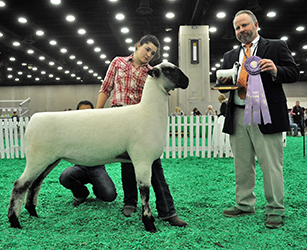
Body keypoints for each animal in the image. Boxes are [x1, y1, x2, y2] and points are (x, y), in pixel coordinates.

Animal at [7, 62, 189, 232]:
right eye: (169, 70)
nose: (187, 81)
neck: (147, 112)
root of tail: (33, 120)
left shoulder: (146, 160)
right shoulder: (142, 159)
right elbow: (145, 191)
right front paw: (149, 224)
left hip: (49, 160)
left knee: (35, 183)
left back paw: (33, 213)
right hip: (37, 158)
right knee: (19, 185)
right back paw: (15, 222)